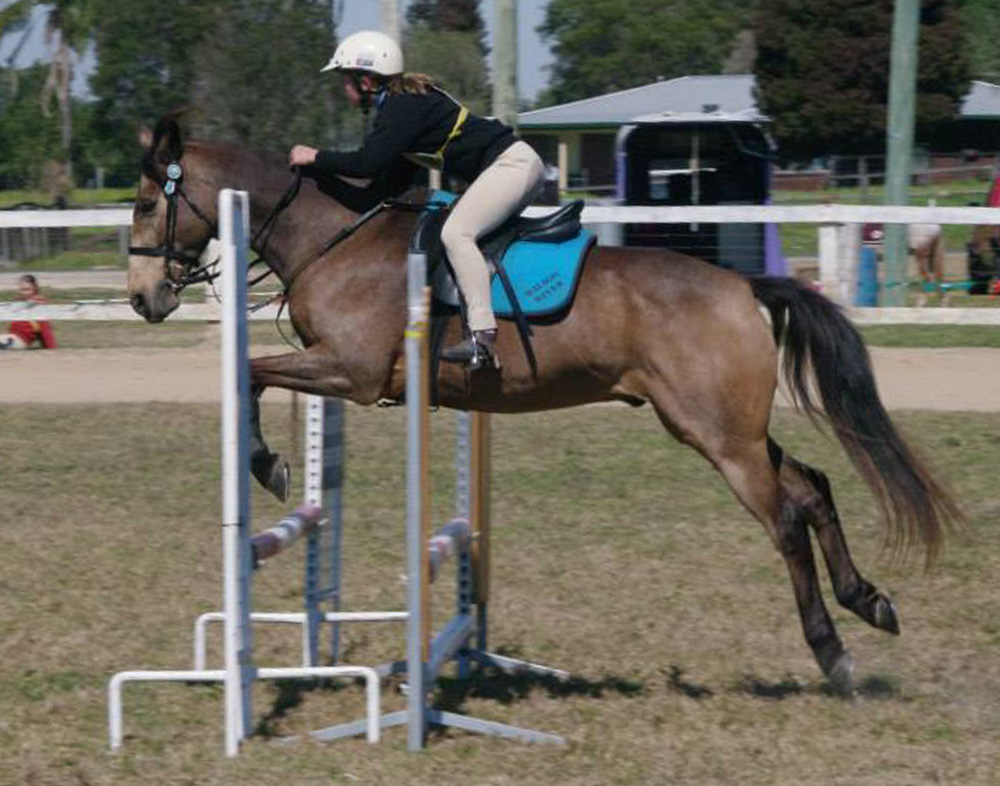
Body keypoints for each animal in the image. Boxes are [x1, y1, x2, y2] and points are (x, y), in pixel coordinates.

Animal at [127, 115, 961, 693]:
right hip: (723, 427)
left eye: (142, 204)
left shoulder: (351, 373)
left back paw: (833, 652)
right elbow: (254, 374)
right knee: (812, 488)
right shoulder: (343, 372)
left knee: (785, 519)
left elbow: (250, 374)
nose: (143, 298)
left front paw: (265, 465)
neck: (335, 236)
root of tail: (741, 285)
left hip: (721, 439)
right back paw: (870, 602)